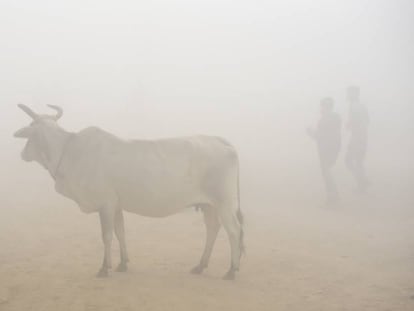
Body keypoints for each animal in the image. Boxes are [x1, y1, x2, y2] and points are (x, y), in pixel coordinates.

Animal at [14, 105, 244, 280]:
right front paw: (122, 264)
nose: (22, 154)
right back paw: (200, 265)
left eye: (31, 129)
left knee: (234, 231)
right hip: (209, 205)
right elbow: (120, 232)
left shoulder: (105, 204)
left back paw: (231, 270)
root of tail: (221, 141)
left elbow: (107, 236)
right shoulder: (116, 205)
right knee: (213, 229)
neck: (69, 150)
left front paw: (104, 268)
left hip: (224, 203)